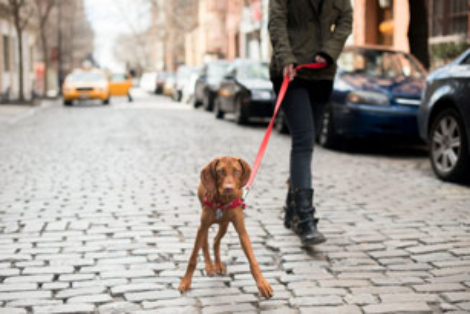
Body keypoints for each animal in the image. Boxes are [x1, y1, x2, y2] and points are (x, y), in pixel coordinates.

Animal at [180, 156, 276, 298]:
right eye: (220, 171)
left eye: (236, 171)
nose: (228, 188)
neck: (222, 202)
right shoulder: (202, 226)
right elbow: (193, 258)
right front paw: (185, 281)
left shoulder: (242, 231)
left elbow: (253, 260)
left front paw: (262, 283)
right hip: (205, 224)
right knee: (206, 242)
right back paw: (209, 266)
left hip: (224, 225)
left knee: (216, 241)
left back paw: (218, 264)